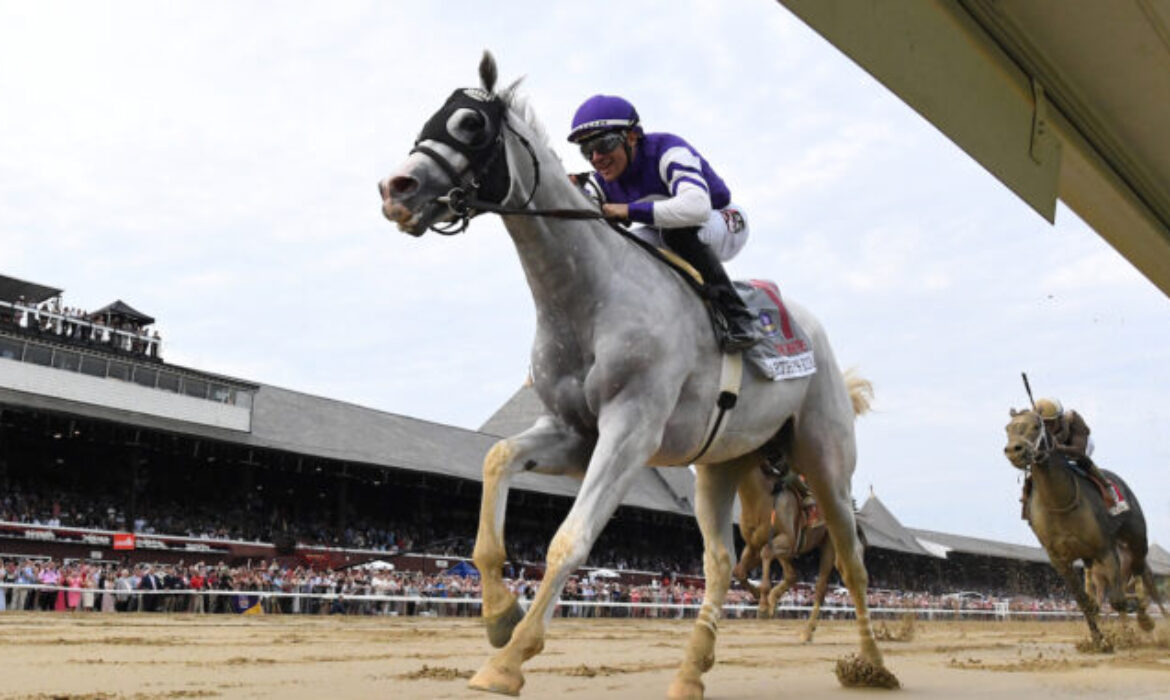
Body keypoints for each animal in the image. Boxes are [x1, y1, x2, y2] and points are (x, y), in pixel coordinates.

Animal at [379, 52, 889, 697]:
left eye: (471, 124)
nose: (395, 189)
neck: (591, 297)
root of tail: (820, 343)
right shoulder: (575, 432)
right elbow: (495, 464)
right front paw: (499, 614)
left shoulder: (630, 431)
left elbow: (569, 540)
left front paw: (510, 659)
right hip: (722, 463)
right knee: (721, 563)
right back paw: (691, 672)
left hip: (824, 459)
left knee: (850, 563)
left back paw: (870, 663)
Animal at [1001, 409, 1165, 650]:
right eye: (1008, 428)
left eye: (1036, 426)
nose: (1014, 450)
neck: (1060, 502)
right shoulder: (1061, 561)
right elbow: (1085, 603)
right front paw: (1099, 641)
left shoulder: (1106, 550)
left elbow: (1118, 601)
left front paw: (1132, 629)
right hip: (1091, 559)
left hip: (1137, 539)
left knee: (1140, 572)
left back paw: (1145, 616)